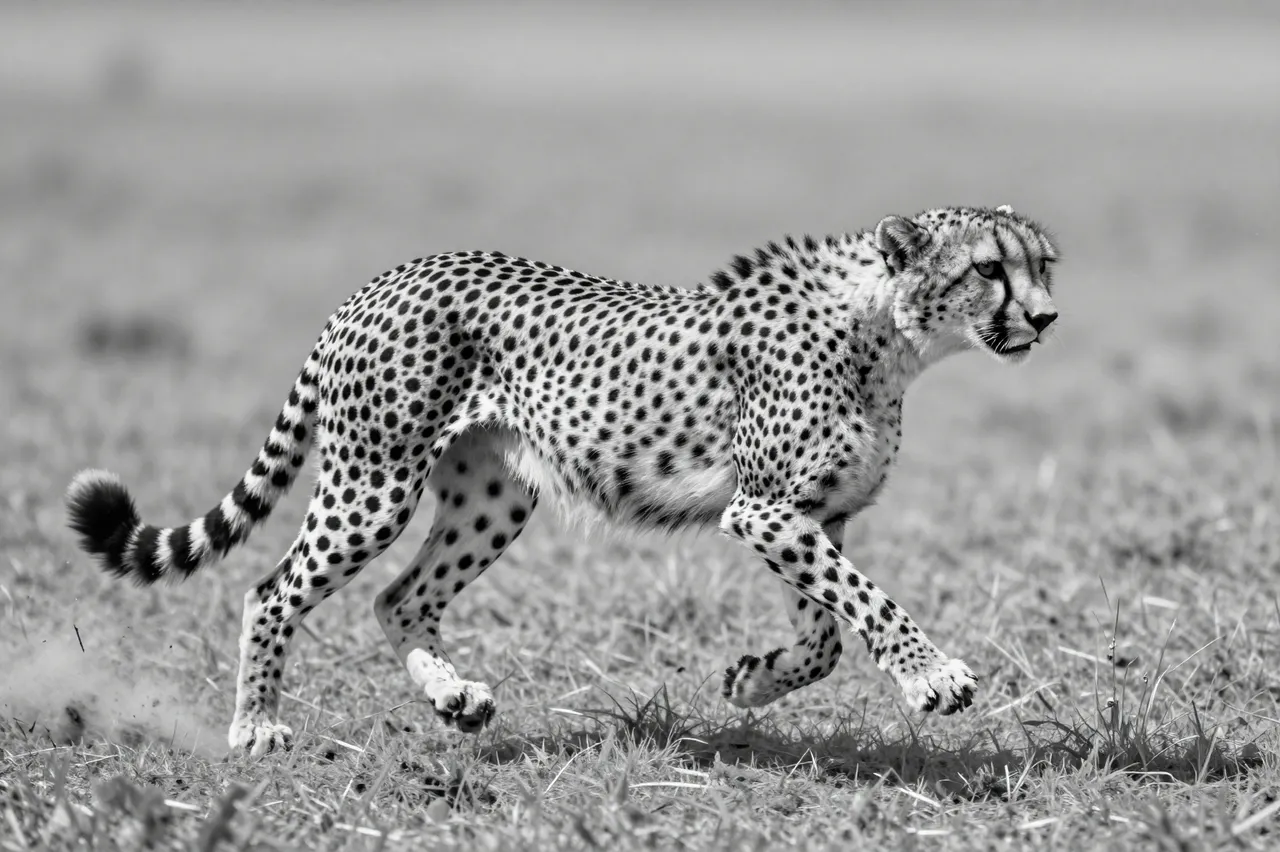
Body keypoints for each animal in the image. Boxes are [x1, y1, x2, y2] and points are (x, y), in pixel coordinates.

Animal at [66, 205, 1059, 756]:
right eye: (988, 269)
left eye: (1044, 263)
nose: (1047, 318)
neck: (886, 330)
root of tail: (385, 277)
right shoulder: (765, 510)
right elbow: (868, 606)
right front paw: (935, 679)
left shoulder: (810, 514)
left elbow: (827, 638)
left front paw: (751, 682)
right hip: (372, 483)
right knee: (272, 591)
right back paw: (258, 728)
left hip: (495, 498)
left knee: (399, 597)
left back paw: (454, 697)